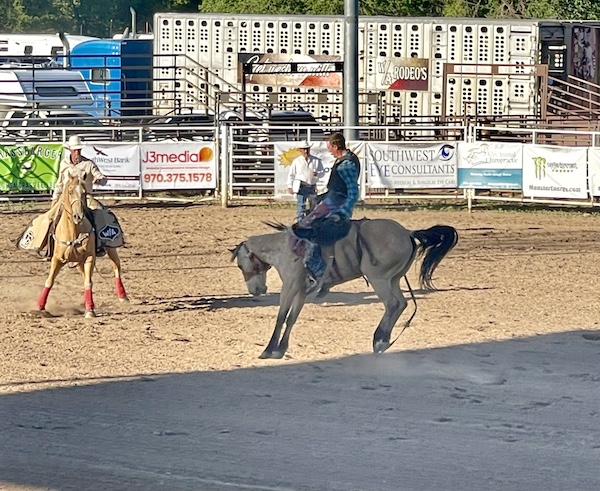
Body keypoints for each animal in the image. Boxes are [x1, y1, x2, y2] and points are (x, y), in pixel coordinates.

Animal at [37, 172, 128, 320]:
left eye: (84, 193)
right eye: (69, 191)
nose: (78, 216)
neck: (73, 232)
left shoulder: (89, 258)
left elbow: (88, 282)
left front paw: (90, 310)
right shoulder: (57, 258)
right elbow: (49, 281)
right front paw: (40, 306)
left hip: (111, 249)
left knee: (116, 267)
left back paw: (123, 296)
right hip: (79, 262)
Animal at [232, 221, 458, 360]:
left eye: (240, 265)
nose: (257, 290)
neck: (286, 248)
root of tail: (408, 233)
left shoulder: (290, 286)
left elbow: (281, 317)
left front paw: (269, 350)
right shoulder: (301, 291)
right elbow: (291, 319)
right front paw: (280, 349)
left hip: (378, 278)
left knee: (392, 304)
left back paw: (379, 340)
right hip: (393, 279)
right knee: (401, 304)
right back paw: (382, 341)